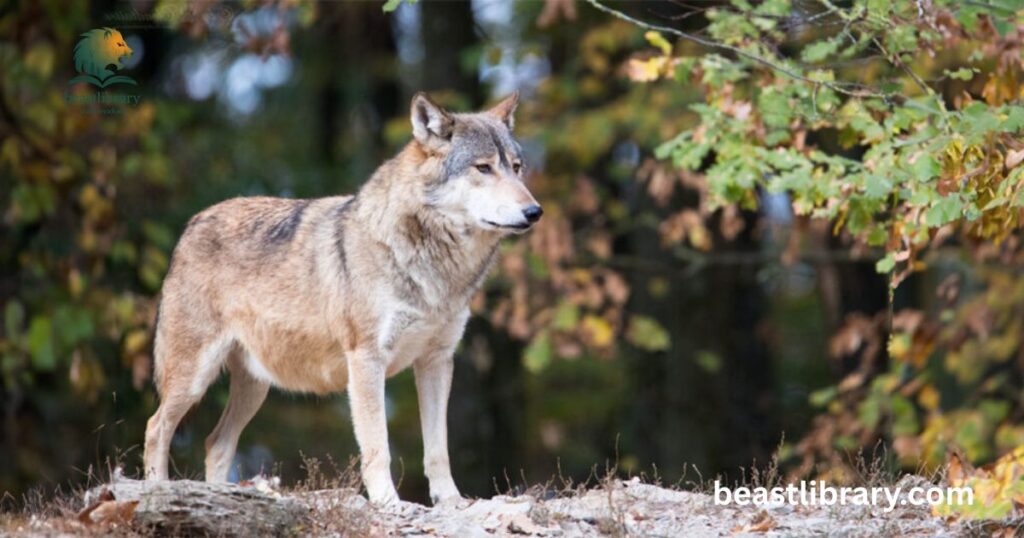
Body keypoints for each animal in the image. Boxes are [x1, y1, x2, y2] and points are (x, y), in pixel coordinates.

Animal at [143, 92, 541, 505]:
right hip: (194, 377)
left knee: (216, 443)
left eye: (516, 168)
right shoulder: (366, 359)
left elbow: (437, 449)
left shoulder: (437, 361)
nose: (534, 211)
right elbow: (378, 445)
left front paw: (450, 501)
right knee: (156, 427)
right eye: (483, 168)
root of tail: (192, 224)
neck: (435, 268)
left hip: (255, 386)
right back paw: (158, 490)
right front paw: (388, 502)